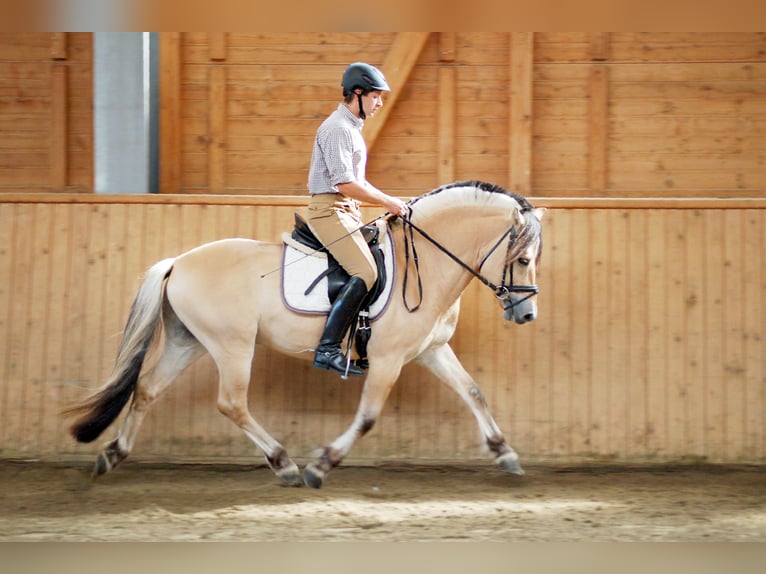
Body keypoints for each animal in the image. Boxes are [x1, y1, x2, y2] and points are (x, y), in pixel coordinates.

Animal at [63, 180, 545, 488]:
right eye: (522, 260)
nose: (526, 314)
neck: (424, 260)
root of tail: (178, 262)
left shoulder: (431, 350)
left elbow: (474, 392)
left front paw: (505, 454)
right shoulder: (388, 359)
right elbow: (368, 417)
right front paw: (322, 465)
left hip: (190, 341)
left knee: (146, 390)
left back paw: (112, 455)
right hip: (232, 346)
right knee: (231, 403)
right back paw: (285, 464)